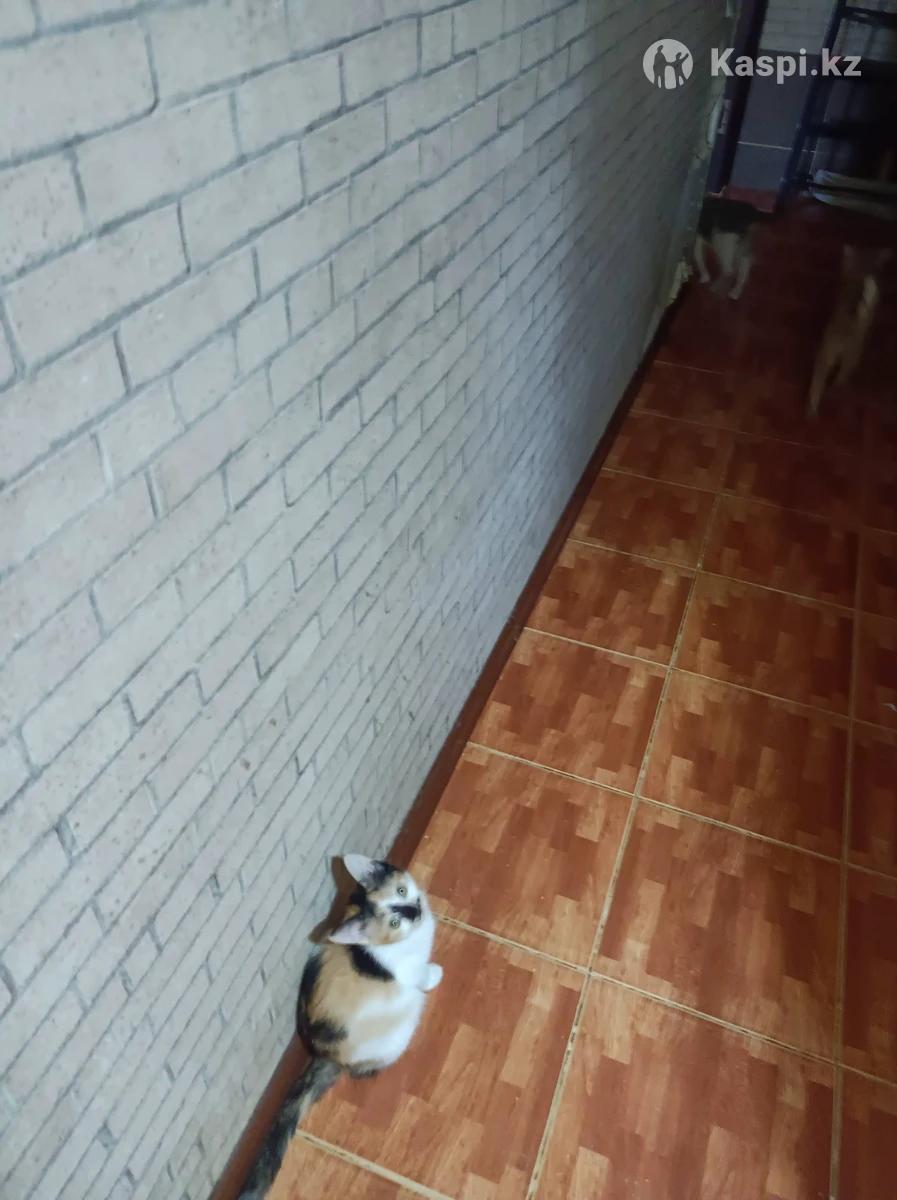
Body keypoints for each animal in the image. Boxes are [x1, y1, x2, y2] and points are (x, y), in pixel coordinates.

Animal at [238, 854, 442, 1199]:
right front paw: (435, 973)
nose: (414, 910)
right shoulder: (408, 972)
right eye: (395, 924)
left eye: (402, 891)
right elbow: (421, 976)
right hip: (399, 1028)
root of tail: (325, 1056)